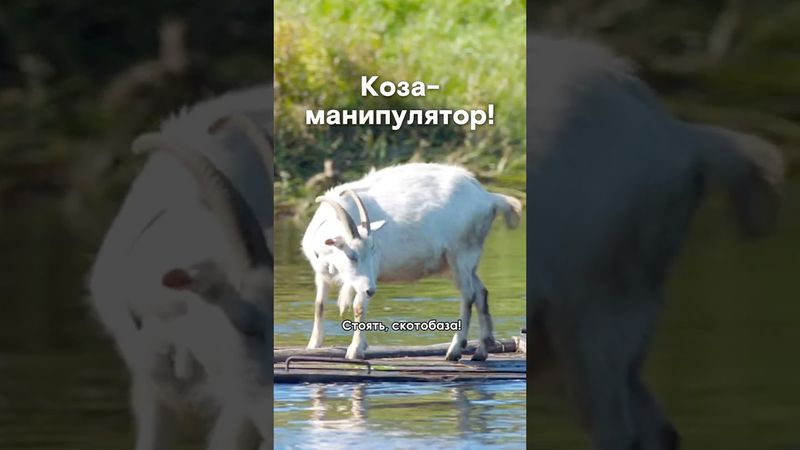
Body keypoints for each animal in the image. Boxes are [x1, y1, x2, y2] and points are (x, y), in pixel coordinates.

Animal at [302, 163, 523, 361]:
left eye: (373, 251)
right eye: (351, 255)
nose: (371, 290)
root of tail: (489, 197)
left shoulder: (369, 275)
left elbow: (358, 306)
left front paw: (355, 350)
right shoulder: (323, 274)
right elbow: (319, 305)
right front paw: (313, 345)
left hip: (461, 254)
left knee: (468, 295)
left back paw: (455, 350)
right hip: (456, 264)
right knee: (481, 292)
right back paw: (481, 350)